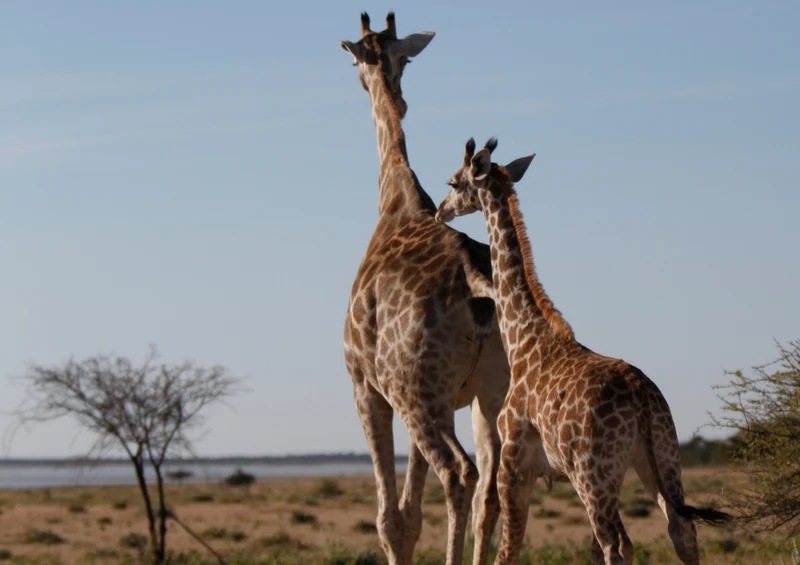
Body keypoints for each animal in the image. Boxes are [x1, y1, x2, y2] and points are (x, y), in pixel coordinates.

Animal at [339, 13, 512, 565]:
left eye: (354, 62)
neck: (395, 199)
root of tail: (476, 281)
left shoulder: (367, 388)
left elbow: (391, 521)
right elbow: (412, 514)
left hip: (420, 396)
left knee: (459, 475)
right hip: (489, 394)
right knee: (491, 490)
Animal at [435, 138, 732, 565]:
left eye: (454, 183)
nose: (440, 211)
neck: (523, 340)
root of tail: (641, 398)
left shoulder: (514, 464)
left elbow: (507, 549)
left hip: (593, 474)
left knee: (617, 543)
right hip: (659, 457)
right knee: (681, 531)